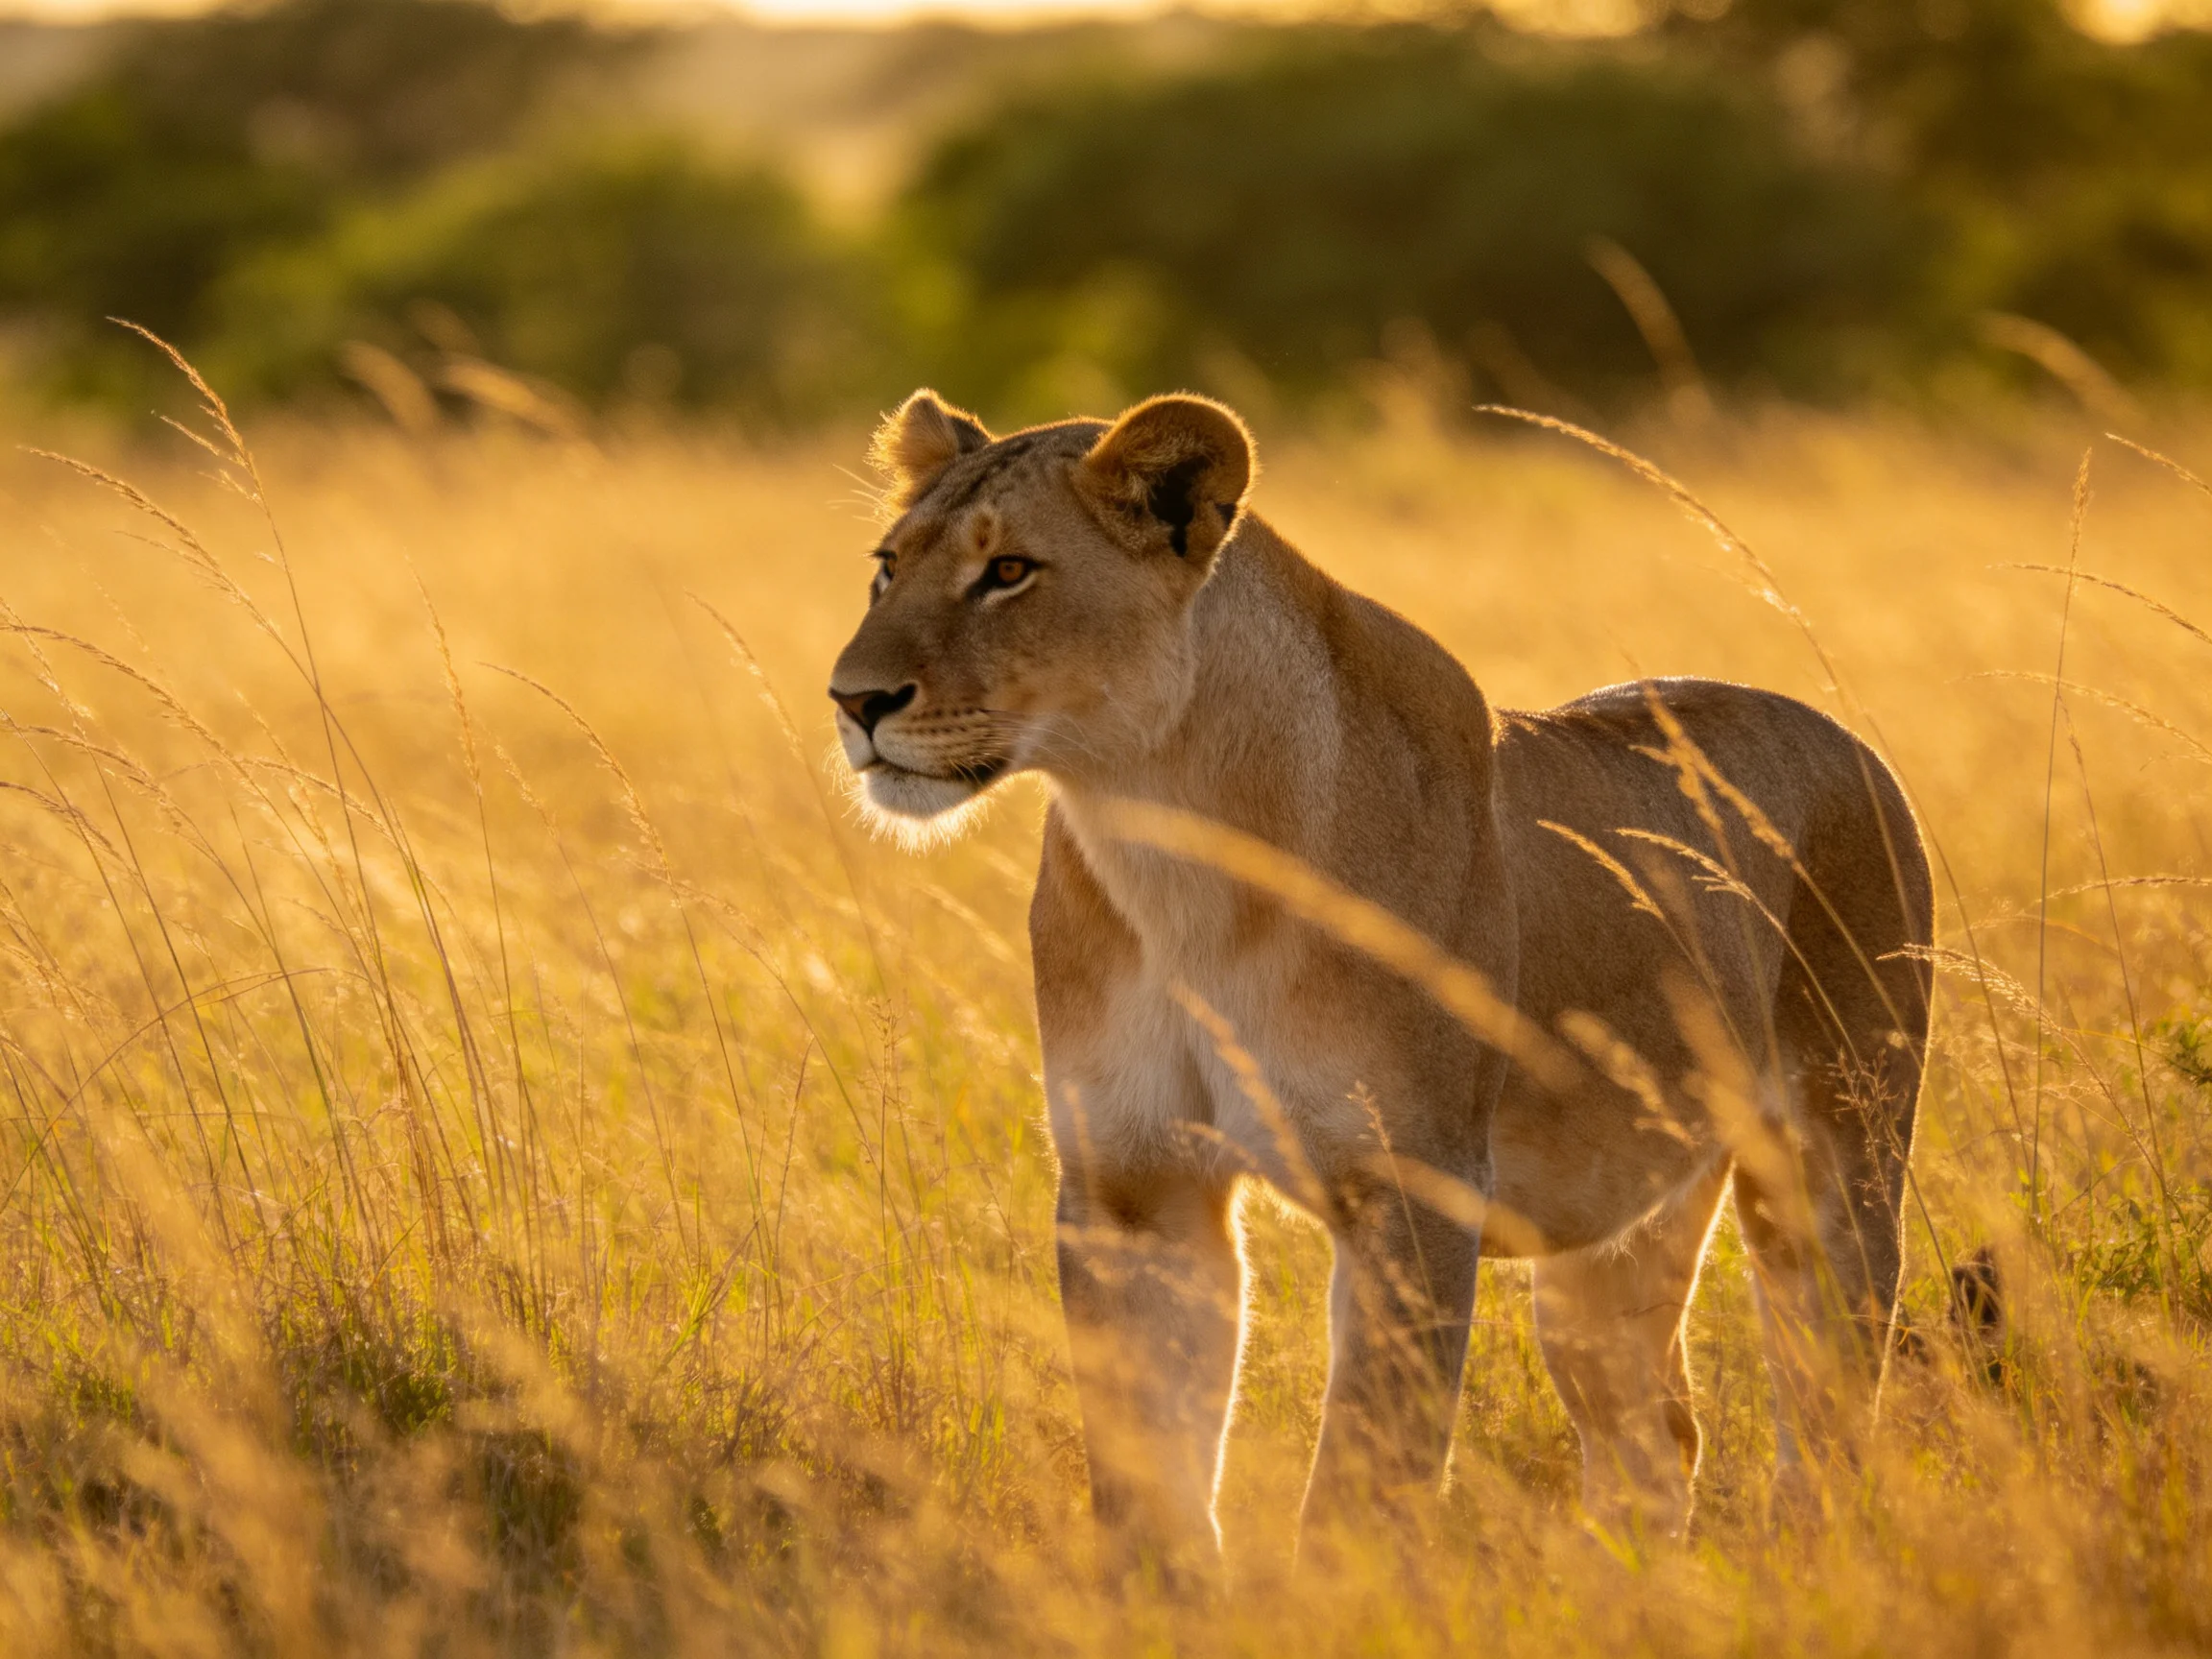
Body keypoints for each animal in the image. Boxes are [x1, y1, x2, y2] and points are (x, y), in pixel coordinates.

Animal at [828, 389, 1933, 1578]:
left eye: (1010, 572)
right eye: (888, 568)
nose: (854, 700)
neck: (1168, 839)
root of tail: (1846, 739)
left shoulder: (1413, 1182)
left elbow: (1368, 1469)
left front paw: (1346, 1597)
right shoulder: (1133, 1182)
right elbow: (1144, 1464)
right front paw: (1156, 1595)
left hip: (1835, 1165)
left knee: (1827, 1409)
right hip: (1616, 1238)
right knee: (1654, 1433)